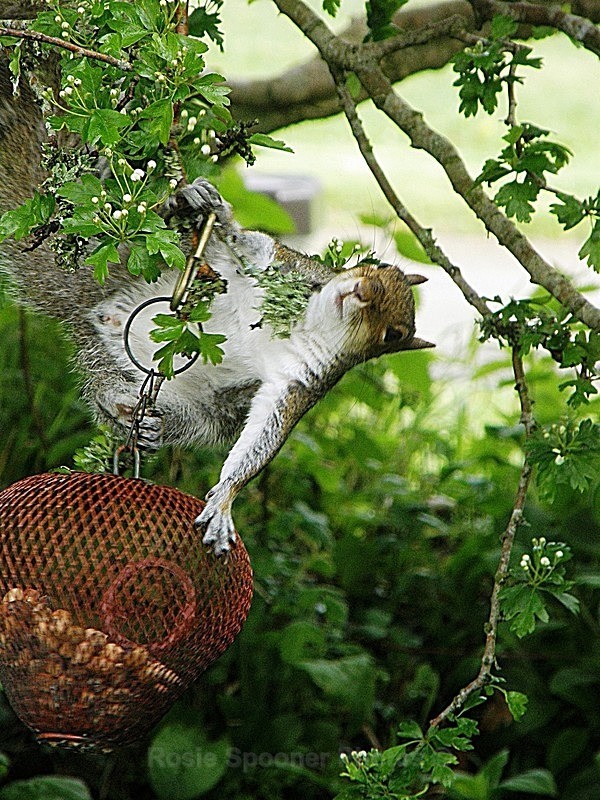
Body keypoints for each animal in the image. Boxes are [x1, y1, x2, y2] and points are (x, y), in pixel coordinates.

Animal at [0, 63, 433, 555]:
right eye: (377, 267)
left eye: (393, 335)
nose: (362, 290)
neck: (310, 324)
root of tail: (94, 309)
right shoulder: (282, 263)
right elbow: (249, 243)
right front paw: (217, 212)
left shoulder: (300, 384)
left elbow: (262, 439)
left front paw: (225, 498)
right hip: (133, 256)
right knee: (115, 228)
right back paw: (157, 191)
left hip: (154, 383)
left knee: (138, 405)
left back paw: (138, 419)